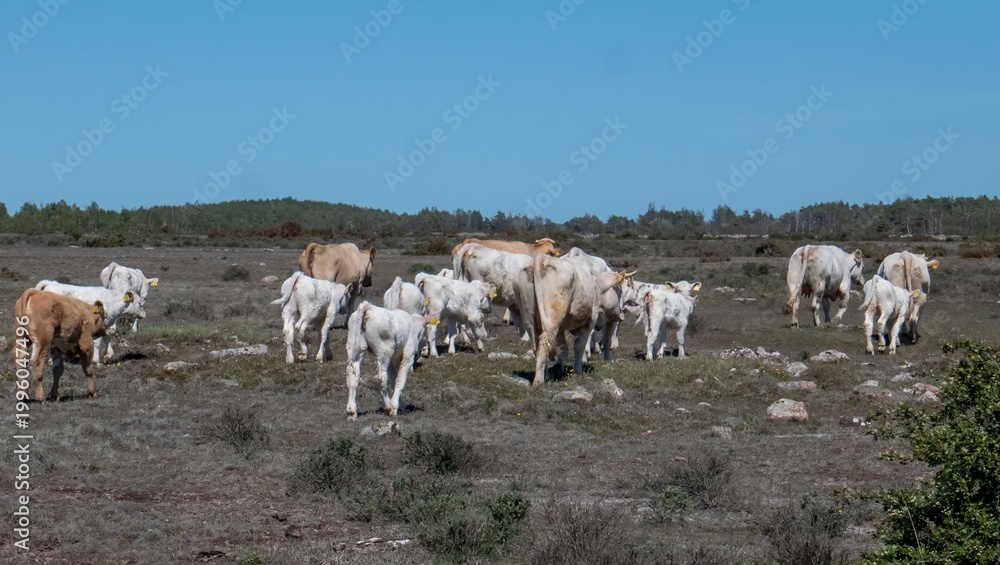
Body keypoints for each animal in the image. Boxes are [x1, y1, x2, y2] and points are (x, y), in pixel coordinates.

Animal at [529, 253, 626, 387]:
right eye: (620, 290)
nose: (622, 315)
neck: (596, 280)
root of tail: (543, 258)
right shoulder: (589, 322)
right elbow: (579, 346)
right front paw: (578, 371)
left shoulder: (561, 328)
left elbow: (563, 348)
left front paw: (557, 368)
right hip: (553, 319)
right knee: (544, 343)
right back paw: (538, 380)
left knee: (540, 344)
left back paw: (545, 375)